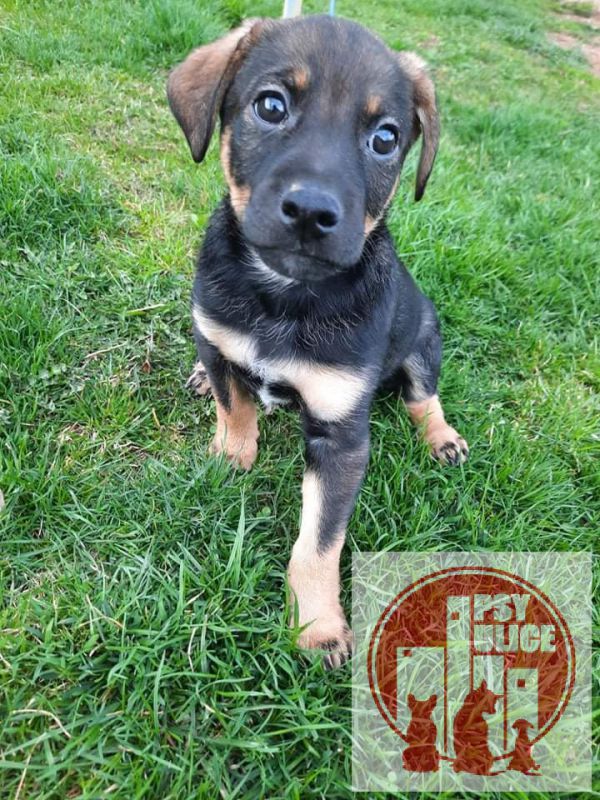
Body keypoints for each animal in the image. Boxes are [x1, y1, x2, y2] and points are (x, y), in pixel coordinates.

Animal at [167, 15, 468, 669]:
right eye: (270, 105)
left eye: (385, 139)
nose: (310, 212)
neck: (285, 297)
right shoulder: (215, 334)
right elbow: (234, 405)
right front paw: (233, 454)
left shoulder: (342, 440)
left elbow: (319, 545)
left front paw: (319, 627)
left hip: (423, 339)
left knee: (422, 397)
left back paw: (443, 439)